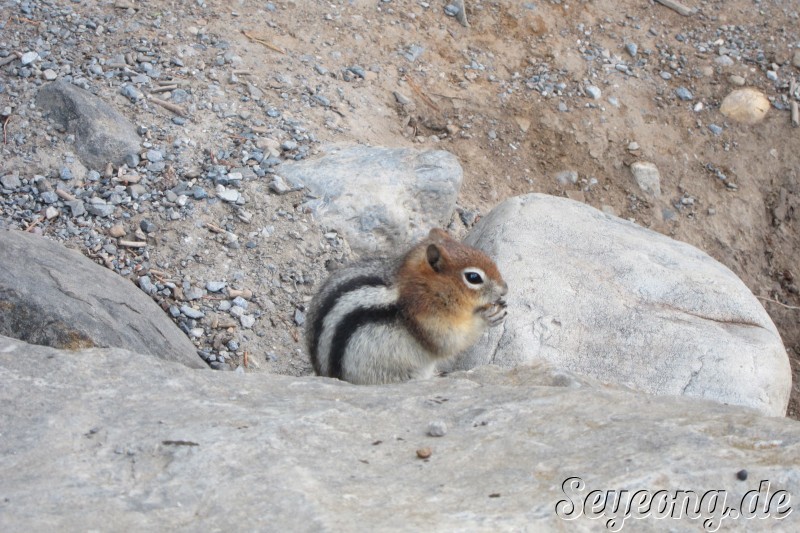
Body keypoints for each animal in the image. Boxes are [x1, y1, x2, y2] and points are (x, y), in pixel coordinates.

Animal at [306, 228, 506, 382]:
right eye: (473, 277)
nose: (505, 288)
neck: (424, 287)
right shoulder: (427, 318)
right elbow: (448, 342)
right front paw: (487, 317)